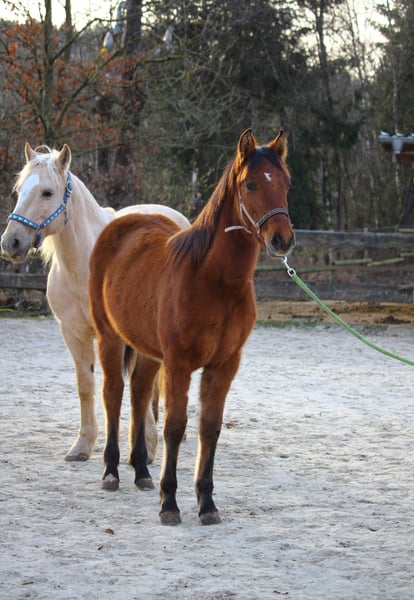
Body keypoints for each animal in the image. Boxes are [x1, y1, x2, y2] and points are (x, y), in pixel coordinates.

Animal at [0, 143, 190, 463]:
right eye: (19, 190)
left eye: (47, 192)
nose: (10, 243)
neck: (85, 266)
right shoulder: (73, 333)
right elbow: (86, 386)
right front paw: (83, 445)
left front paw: (144, 447)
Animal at [89, 128, 295, 525]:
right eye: (250, 185)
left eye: (286, 183)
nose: (282, 239)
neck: (212, 281)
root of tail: (120, 225)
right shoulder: (180, 363)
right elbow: (175, 427)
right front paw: (170, 503)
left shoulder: (224, 365)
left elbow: (209, 428)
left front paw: (207, 503)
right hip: (109, 337)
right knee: (113, 394)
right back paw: (110, 472)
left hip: (148, 351)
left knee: (139, 395)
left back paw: (141, 471)